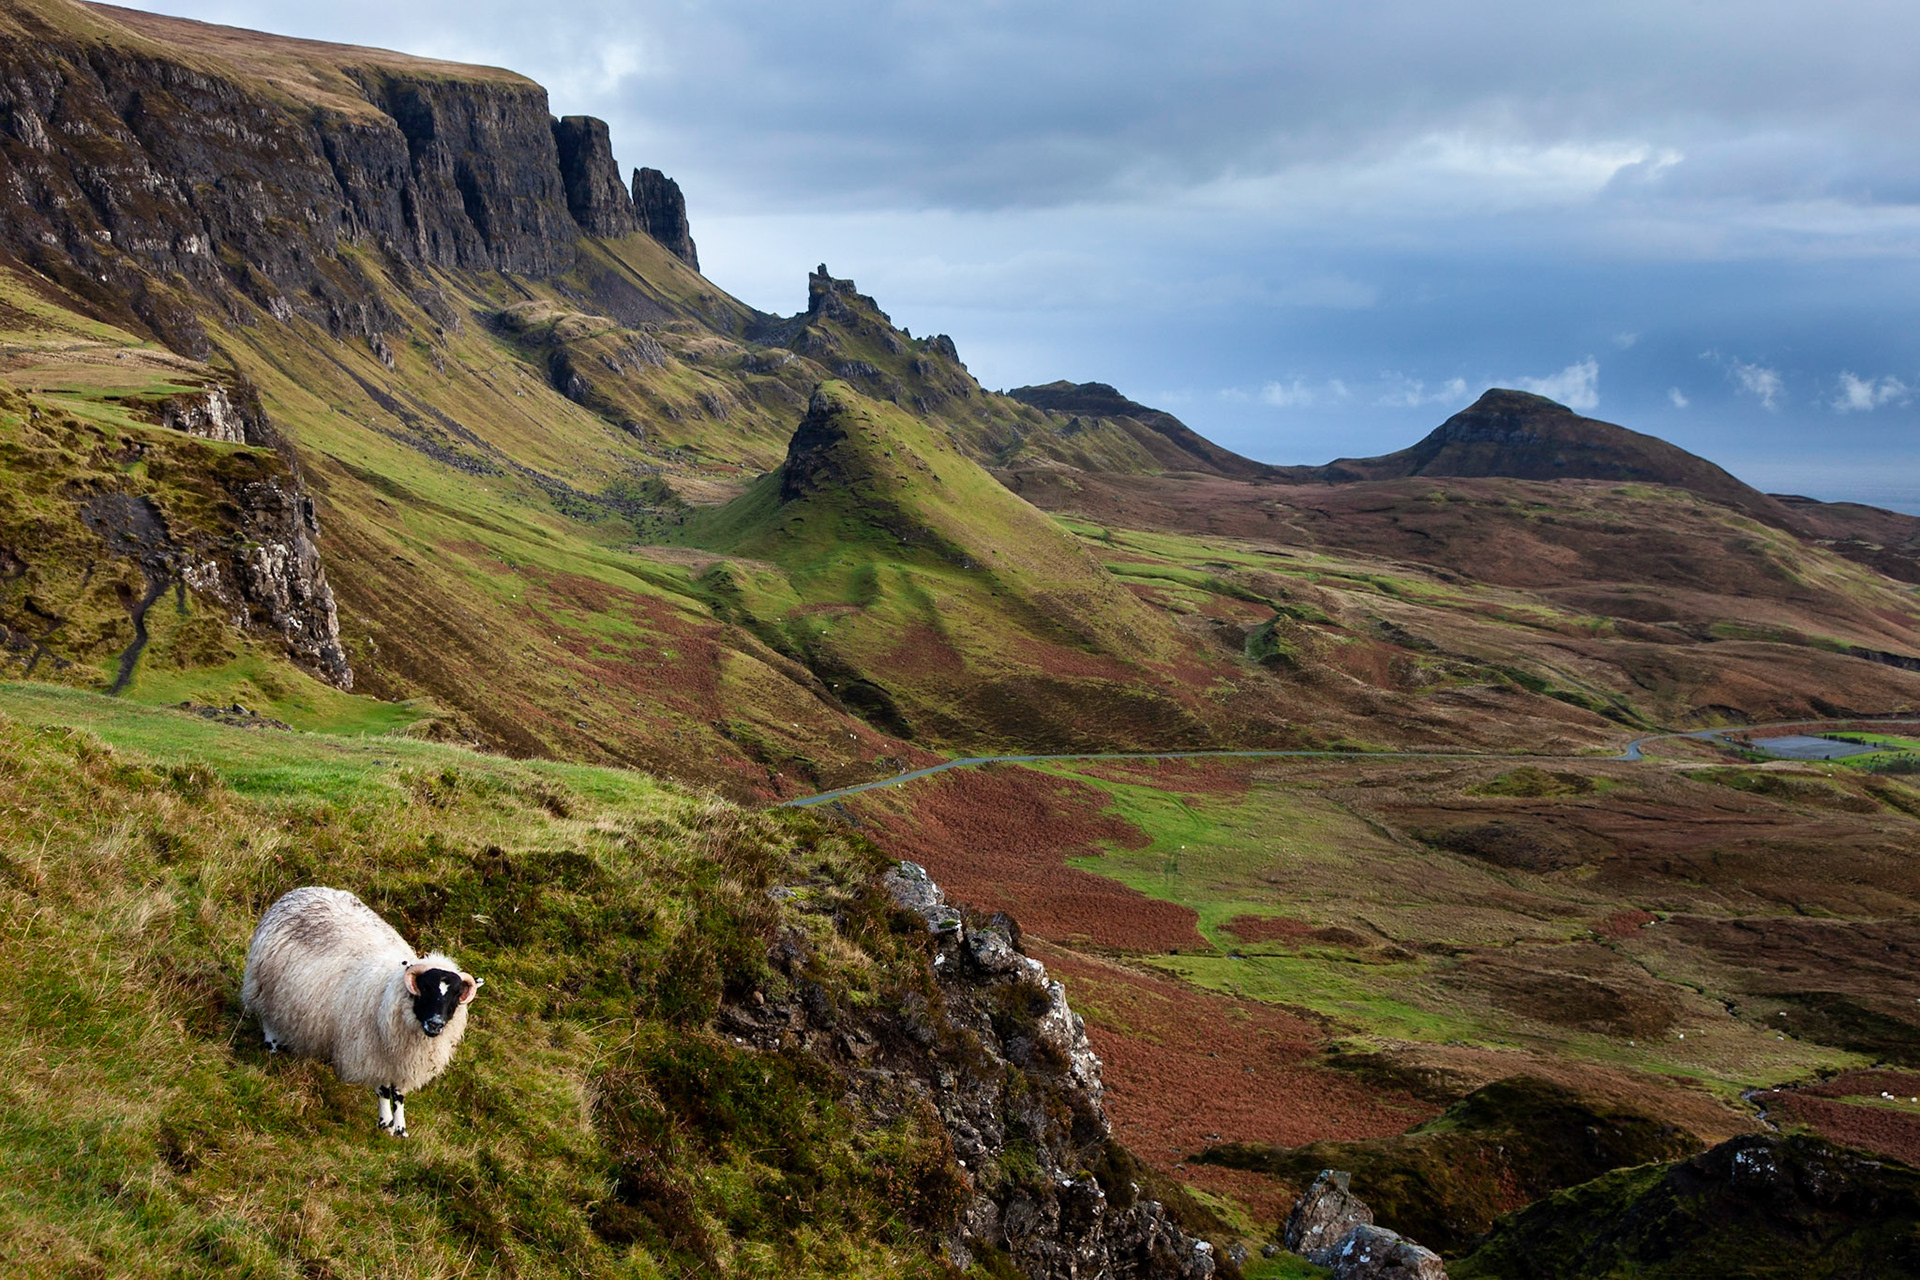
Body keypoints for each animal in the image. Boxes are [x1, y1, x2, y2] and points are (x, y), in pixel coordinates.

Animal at [241, 886, 483, 1137]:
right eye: (425, 988)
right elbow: (384, 1090)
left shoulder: (401, 1061)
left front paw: (400, 1128)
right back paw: (272, 1047)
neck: (387, 990)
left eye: (455, 996)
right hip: (266, 986)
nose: (436, 1024)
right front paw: (385, 1122)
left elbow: (399, 1096)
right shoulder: (371, 1052)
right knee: (268, 1018)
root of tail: (302, 890)